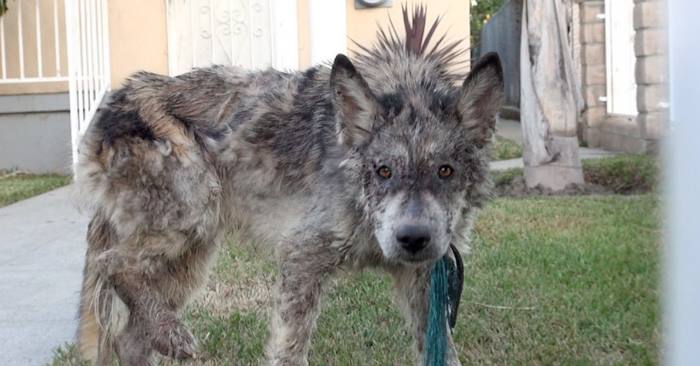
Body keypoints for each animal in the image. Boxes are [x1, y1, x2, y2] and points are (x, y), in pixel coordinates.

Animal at [74, 5, 504, 366]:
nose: (412, 238)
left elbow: (444, 353)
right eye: (383, 171)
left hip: (192, 258)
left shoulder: (423, 278)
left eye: (445, 171)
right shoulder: (302, 258)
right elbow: (290, 349)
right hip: (192, 216)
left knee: (130, 333)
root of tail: (110, 103)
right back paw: (172, 334)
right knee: (111, 263)